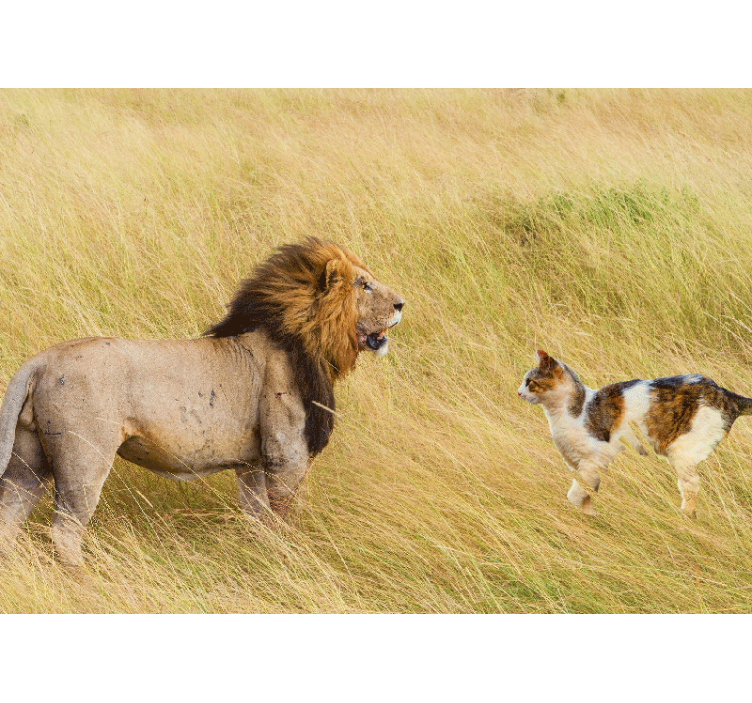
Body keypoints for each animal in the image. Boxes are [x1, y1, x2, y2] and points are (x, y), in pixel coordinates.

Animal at [0, 237, 404, 564]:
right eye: (364, 284)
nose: (401, 303)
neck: (306, 340)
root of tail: (40, 362)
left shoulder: (252, 463)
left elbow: (257, 519)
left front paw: (260, 558)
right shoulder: (285, 453)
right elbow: (282, 517)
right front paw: (287, 558)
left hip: (29, 459)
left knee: (8, 519)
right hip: (85, 459)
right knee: (65, 531)